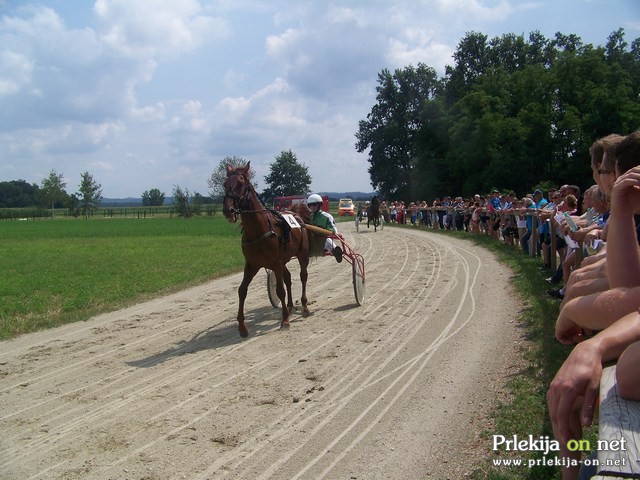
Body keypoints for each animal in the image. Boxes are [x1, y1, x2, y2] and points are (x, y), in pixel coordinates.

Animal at [221, 162, 308, 338]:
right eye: (225, 184)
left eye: (240, 183)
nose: (228, 210)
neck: (258, 230)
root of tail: (295, 212)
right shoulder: (251, 265)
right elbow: (242, 290)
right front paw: (242, 327)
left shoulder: (275, 263)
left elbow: (280, 290)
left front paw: (285, 321)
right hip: (284, 260)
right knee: (288, 278)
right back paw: (290, 306)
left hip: (301, 254)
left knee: (303, 276)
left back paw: (304, 306)